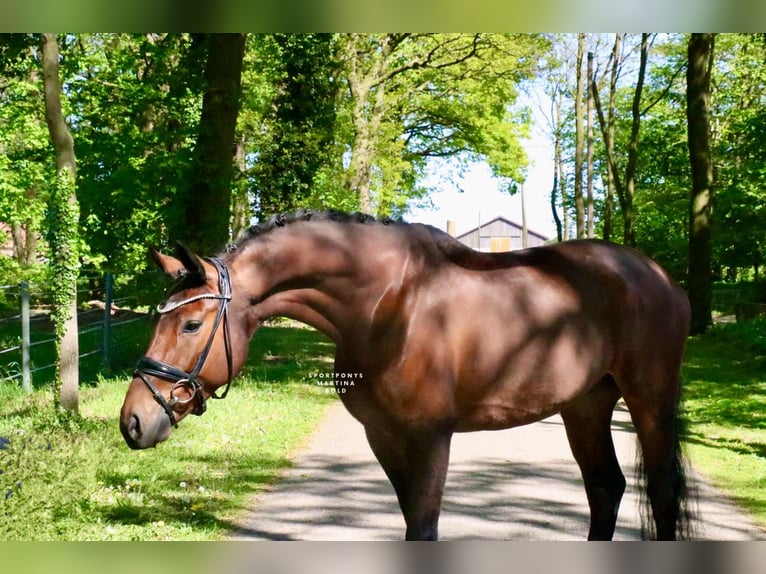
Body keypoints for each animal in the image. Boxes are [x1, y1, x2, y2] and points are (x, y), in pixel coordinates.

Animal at [119, 210, 693, 541]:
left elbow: (424, 528)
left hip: (650, 399)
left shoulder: (430, 438)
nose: (133, 421)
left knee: (661, 492)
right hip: (586, 405)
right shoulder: (384, 437)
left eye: (192, 323)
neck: (387, 304)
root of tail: (660, 275)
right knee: (606, 488)